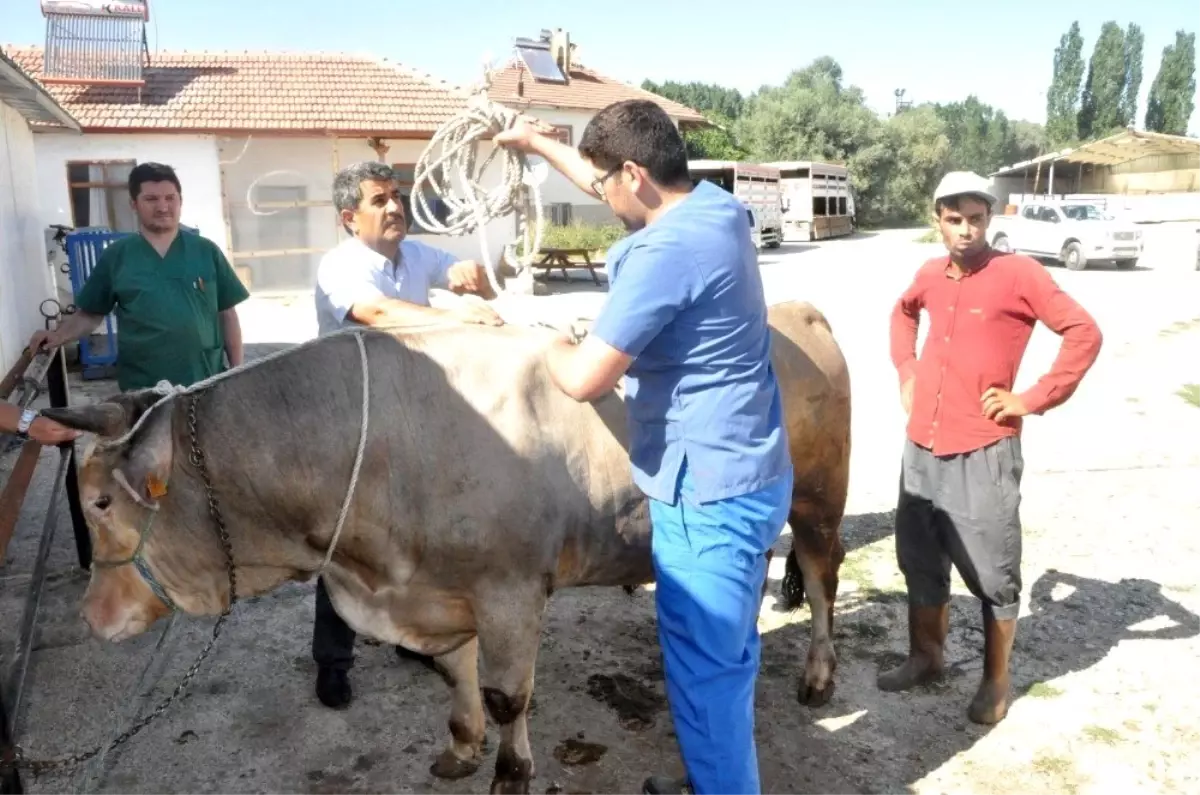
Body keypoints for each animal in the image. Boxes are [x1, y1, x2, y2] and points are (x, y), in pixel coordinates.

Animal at [44, 299, 854, 795]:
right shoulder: (438, 589)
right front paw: (462, 748)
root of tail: (796, 310)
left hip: (818, 499)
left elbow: (506, 694)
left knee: (820, 578)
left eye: (103, 501)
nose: (88, 618)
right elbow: (452, 673)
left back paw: (817, 675)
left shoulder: (510, 590)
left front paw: (509, 771)